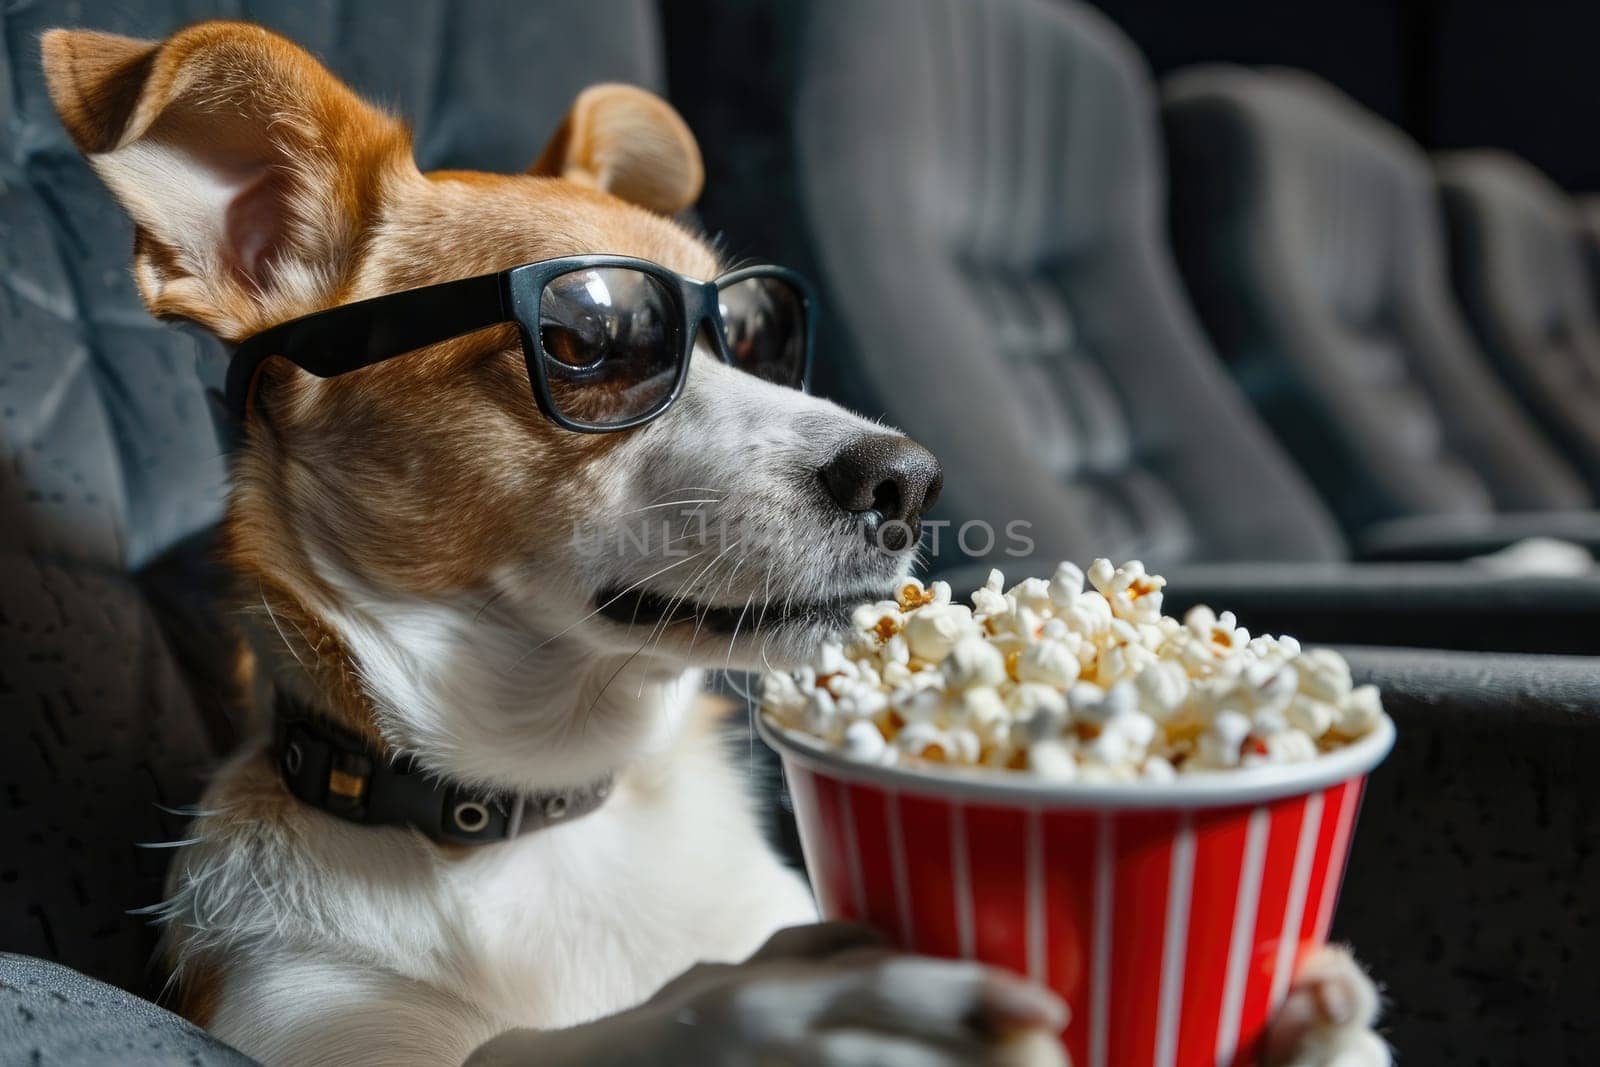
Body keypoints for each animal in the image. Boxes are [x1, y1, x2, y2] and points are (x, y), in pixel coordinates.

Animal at [43, 24, 1382, 1067]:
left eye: (756, 329)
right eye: (589, 339)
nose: (909, 478)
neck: (542, 816)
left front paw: (1316, 1014)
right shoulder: (313, 1011)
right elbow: (539, 1047)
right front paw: (760, 1014)